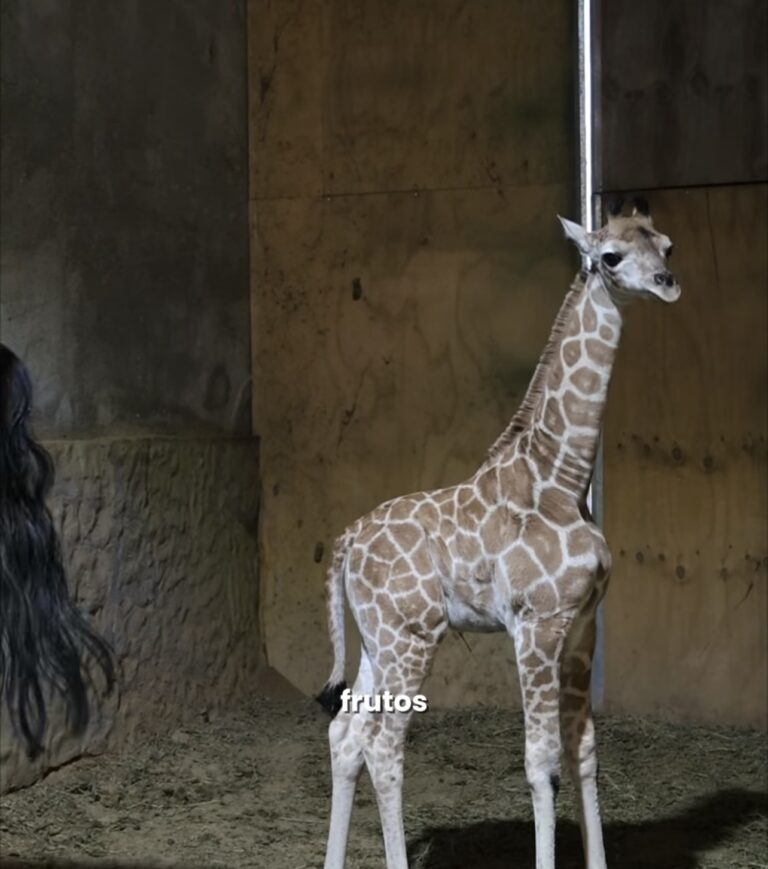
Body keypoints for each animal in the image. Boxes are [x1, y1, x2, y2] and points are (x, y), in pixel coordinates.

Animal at [318, 198, 680, 869]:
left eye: (666, 245)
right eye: (610, 256)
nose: (667, 283)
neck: (562, 477)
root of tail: (346, 542)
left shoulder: (582, 627)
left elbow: (583, 752)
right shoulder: (536, 624)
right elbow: (541, 762)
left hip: (378, 639)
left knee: (345, 734)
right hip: (412, 638)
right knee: (382, 746)